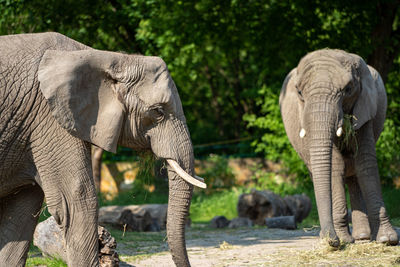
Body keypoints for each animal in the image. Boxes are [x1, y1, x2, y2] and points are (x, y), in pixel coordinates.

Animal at [280, 48, 398, 247]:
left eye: (348, 89)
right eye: (300, 92)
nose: (331, 240)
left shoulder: (365, 107)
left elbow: (365, 163)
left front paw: (387, 240)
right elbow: (335, 166)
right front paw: (342, 240)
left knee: (355, 173)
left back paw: (363, 237)